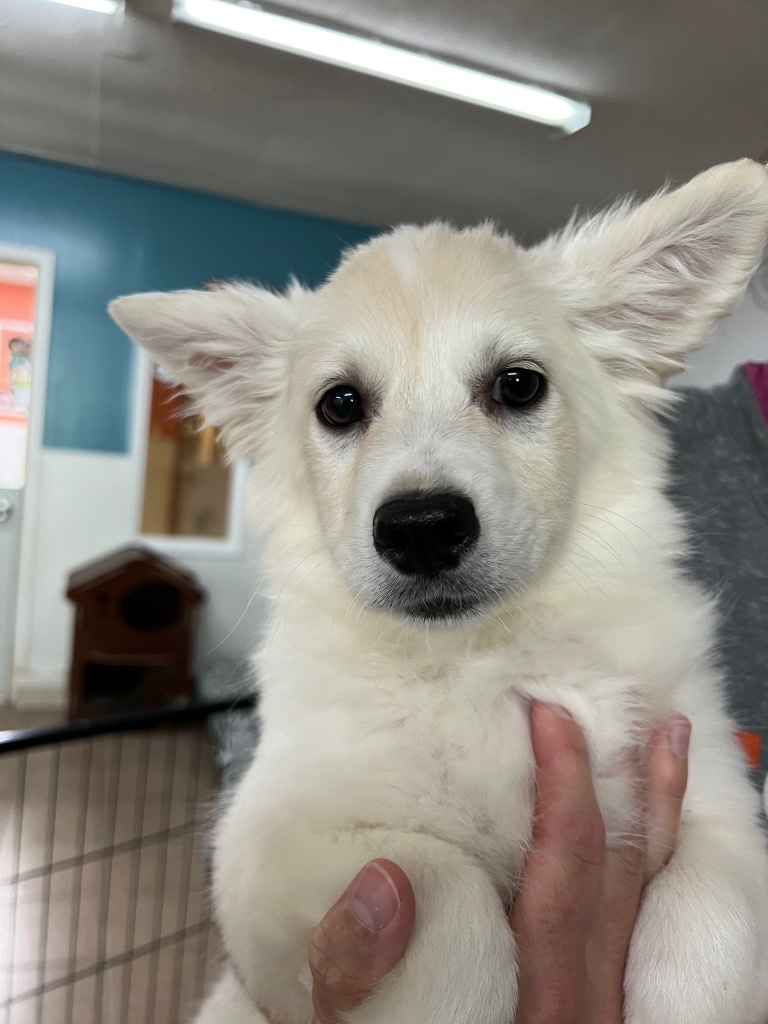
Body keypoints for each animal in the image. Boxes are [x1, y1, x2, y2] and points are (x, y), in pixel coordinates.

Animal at [112, 161, 768, 1024]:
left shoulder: (713, 795)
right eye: (340, 404)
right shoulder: (266, 846)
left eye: (519, 386)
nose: (422, 529)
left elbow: (711, 919)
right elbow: (448, 897)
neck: (481, 659)